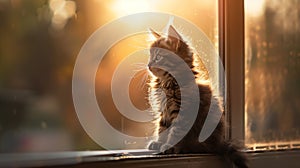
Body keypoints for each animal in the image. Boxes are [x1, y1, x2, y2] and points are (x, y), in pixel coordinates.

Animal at [146, 25, 247, 168]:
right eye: (150, 57)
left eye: (158, 57)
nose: (148, 65)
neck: (168, 83)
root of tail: (219, 142)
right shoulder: (163, 111)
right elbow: (162, 128)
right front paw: (159, 142)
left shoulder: (183, 113)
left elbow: (175, 132)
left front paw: (169, 146)